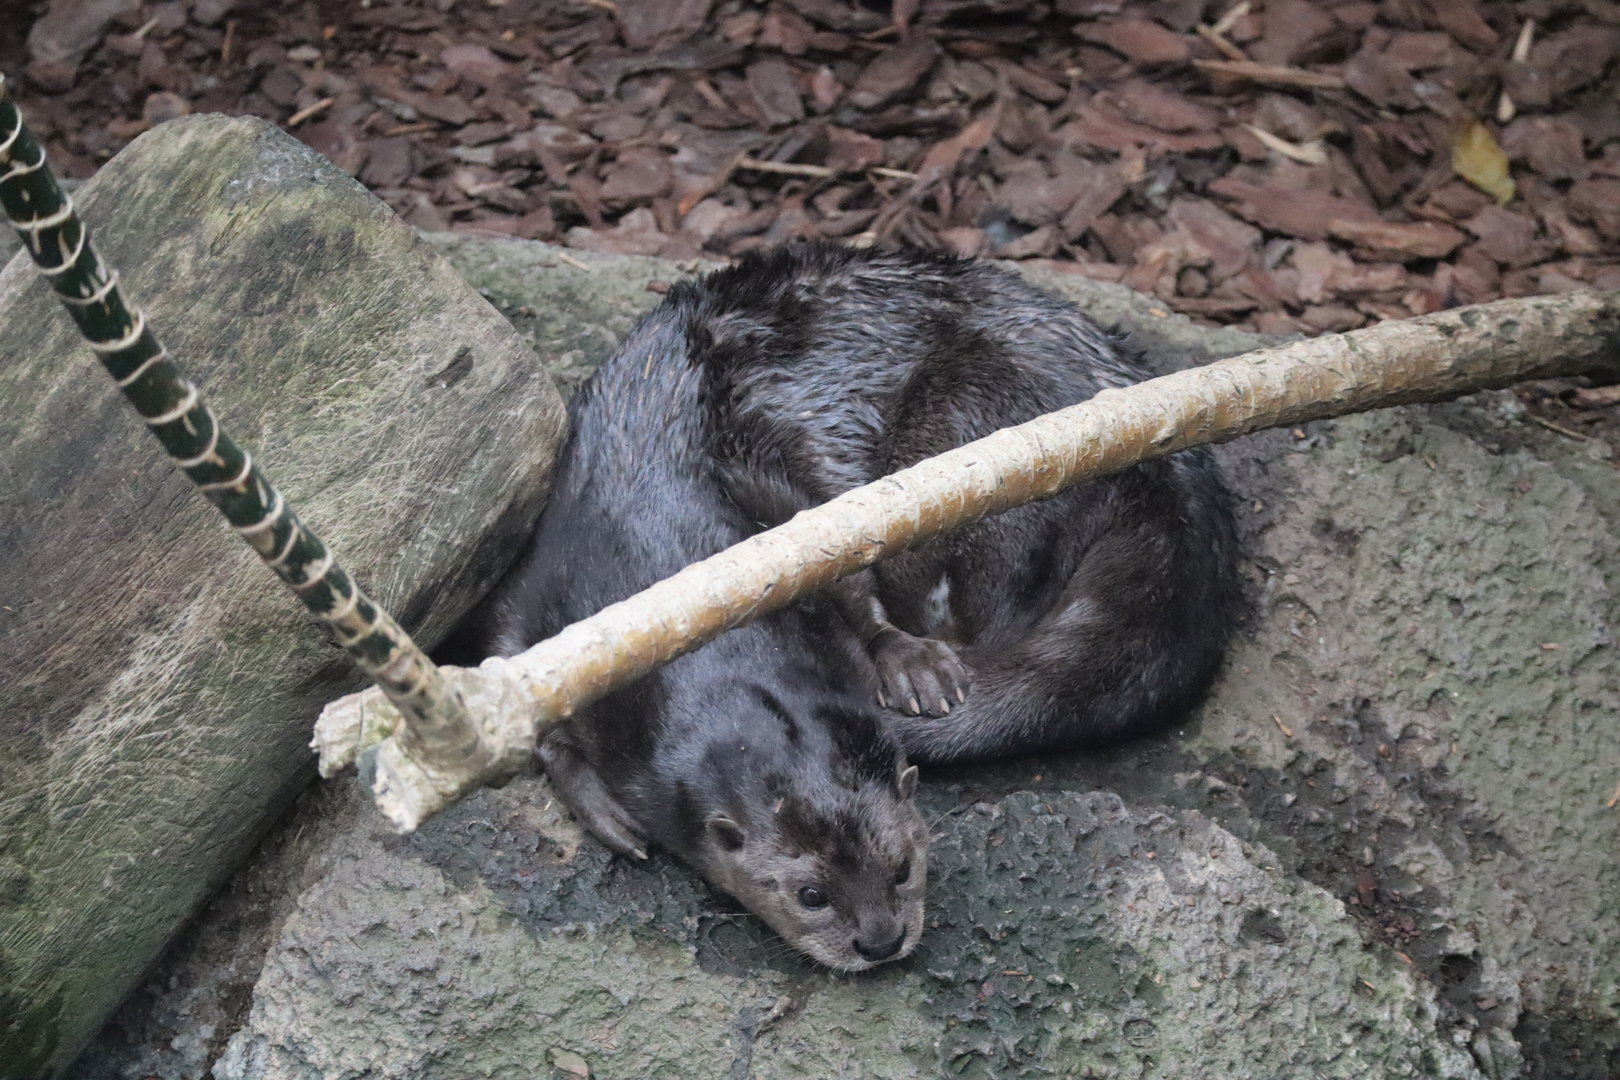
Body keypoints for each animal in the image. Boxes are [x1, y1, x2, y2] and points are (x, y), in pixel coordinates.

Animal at [490, 243, 1240, 970]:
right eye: (810, 894)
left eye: (903, 866)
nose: (879, 940)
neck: (654, 541)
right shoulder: (547, 584)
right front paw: (605, 812)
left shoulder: (771, 505)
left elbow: (845, 572)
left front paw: (909, 665)